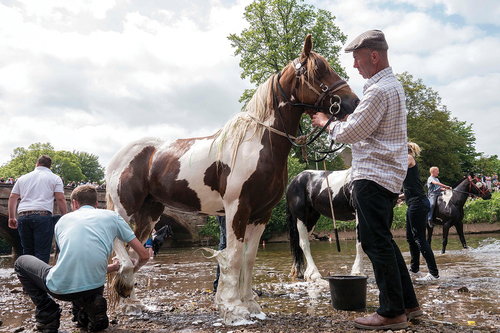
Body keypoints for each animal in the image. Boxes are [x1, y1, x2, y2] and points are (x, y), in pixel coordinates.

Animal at [105, 35, 360, 322]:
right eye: (318, 71)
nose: (352, 102)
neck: (258, 143)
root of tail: (117, 158)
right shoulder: (238, 208)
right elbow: (234, 256)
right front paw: (233, 307)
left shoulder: (261, 214)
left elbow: (248, 258)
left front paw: (250, 304)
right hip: (125, 208)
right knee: (120, 245)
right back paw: (125, 284)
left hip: (149, 213)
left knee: (135, 251)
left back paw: (129, 301)